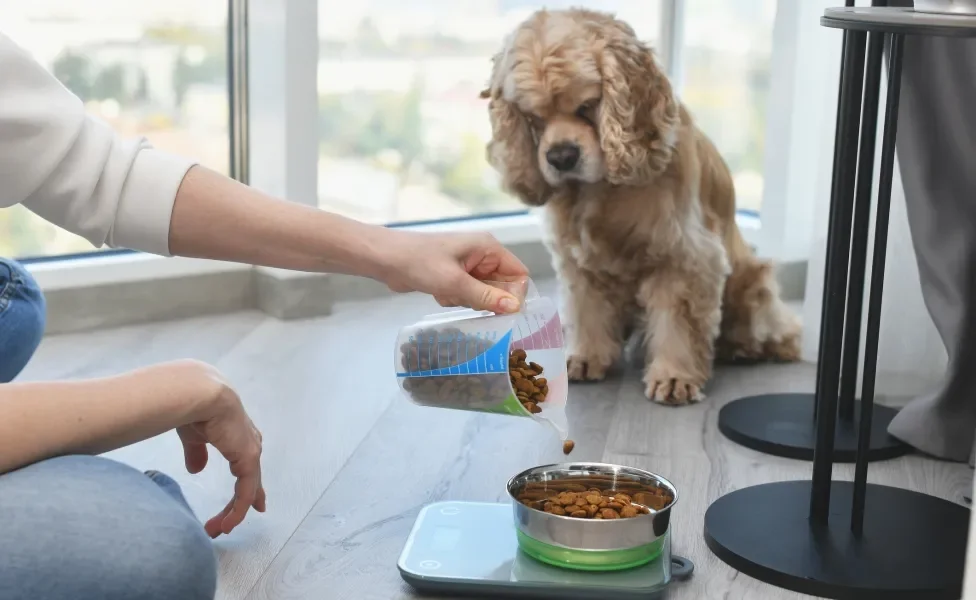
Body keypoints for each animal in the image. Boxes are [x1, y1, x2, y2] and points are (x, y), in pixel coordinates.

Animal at [480, 8, 800, 408]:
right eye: (533, 117)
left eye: (587, 106)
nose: (561, 157)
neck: (603, 187)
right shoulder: (578, 258)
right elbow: (586, 308)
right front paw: (585, 356)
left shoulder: (685, 258)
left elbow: (679, 323)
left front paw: (674, 377)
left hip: (751, 282)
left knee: (777, 328)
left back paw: (751, 347)